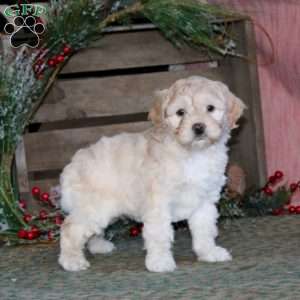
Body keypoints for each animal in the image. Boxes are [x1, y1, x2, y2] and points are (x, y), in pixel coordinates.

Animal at [58, 76, 246, 274]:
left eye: (210, 108)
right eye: (181, 112)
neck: (193, 153)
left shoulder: (204, 201)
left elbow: (205, 230)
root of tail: (73, 164)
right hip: (94, 207)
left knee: (92, 231)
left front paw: (209, 252)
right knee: (70, 229)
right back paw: (71, 261)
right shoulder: (158, 203)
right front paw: (160, 261)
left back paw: (99, 246)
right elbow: (159, 234)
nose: (198, 127)